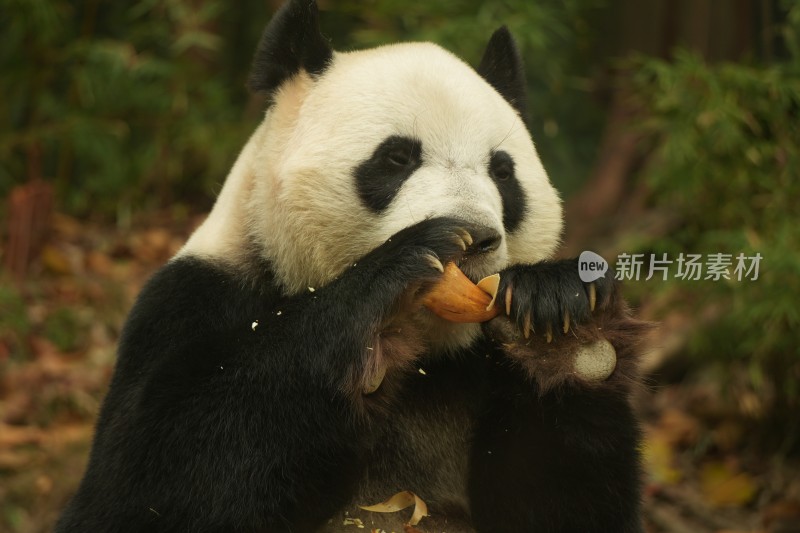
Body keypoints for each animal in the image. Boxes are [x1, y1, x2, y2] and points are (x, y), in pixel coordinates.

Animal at [56, 1, 648, 532]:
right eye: (397, 158)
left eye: (503, 172)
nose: (475, 238)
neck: (429, 357)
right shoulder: (194, 300)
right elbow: (146, 482)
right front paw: (401, 271)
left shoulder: (477, 366)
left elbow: (562, 504)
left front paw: (563, 318)